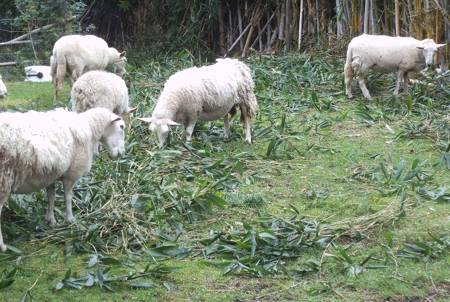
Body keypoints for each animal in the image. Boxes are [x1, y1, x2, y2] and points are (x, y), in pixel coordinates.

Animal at [0, 107, 126, 251]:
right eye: (122, 127)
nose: (122, 153)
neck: (90, 129)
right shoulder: (70, 174)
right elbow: (68, 197)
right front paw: (70, 220)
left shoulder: (50, 176)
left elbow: (51, 197)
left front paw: (50, 220)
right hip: (4, 181)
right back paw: (3, 247)